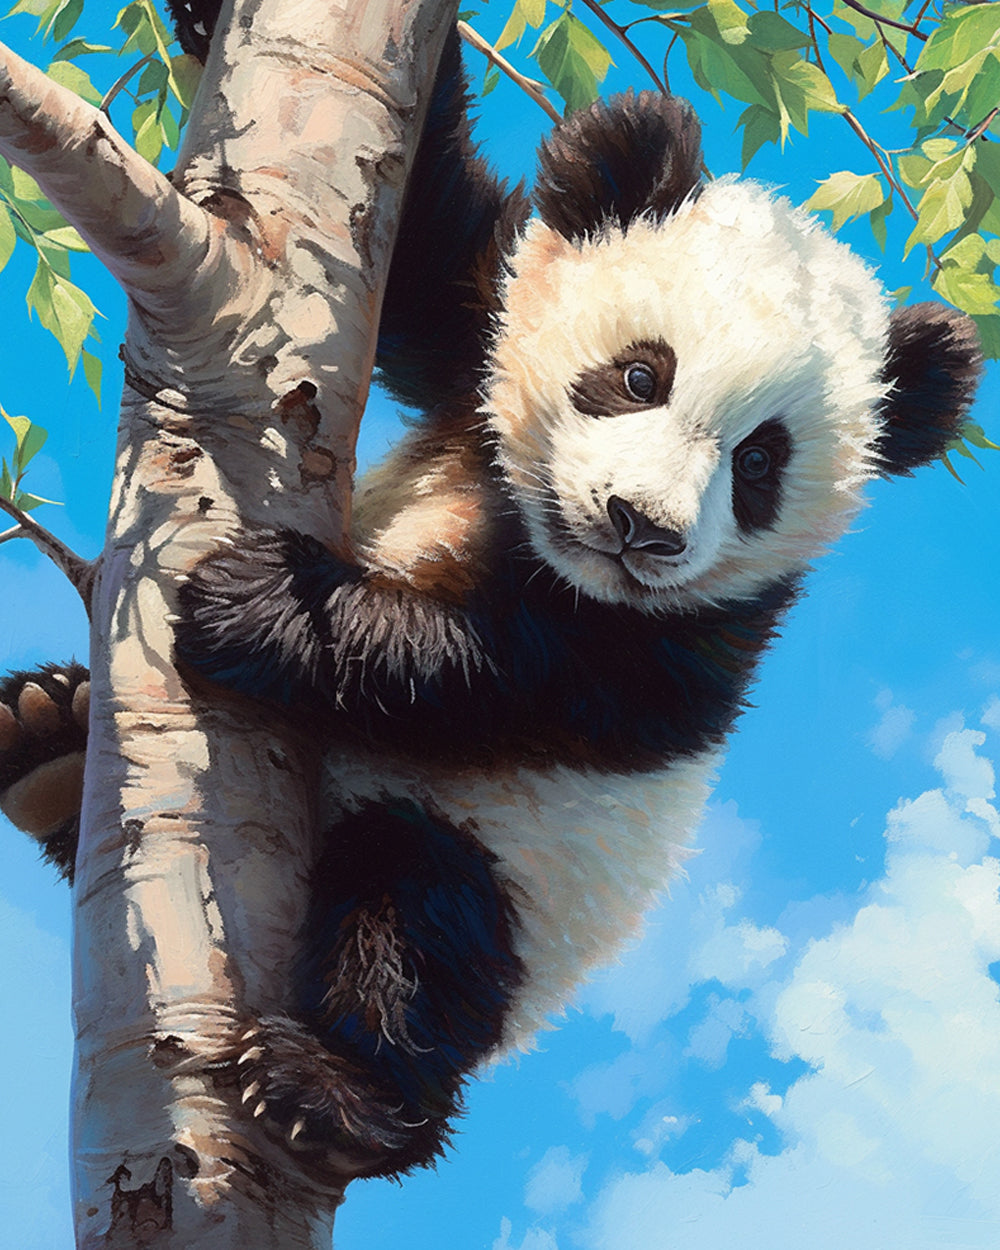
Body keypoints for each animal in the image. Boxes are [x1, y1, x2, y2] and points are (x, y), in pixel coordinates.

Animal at [0, 10, 983, 1180]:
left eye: (759, 463)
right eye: (640, 375)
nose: (641, 527)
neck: (533, 528)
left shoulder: (705, 629)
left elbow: (521, 680)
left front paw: (262, 603)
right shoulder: (482, 322)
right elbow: (427, 248)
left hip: (518, 887)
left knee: (417, 916)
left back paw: (337, 1089)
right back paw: (42, 736)